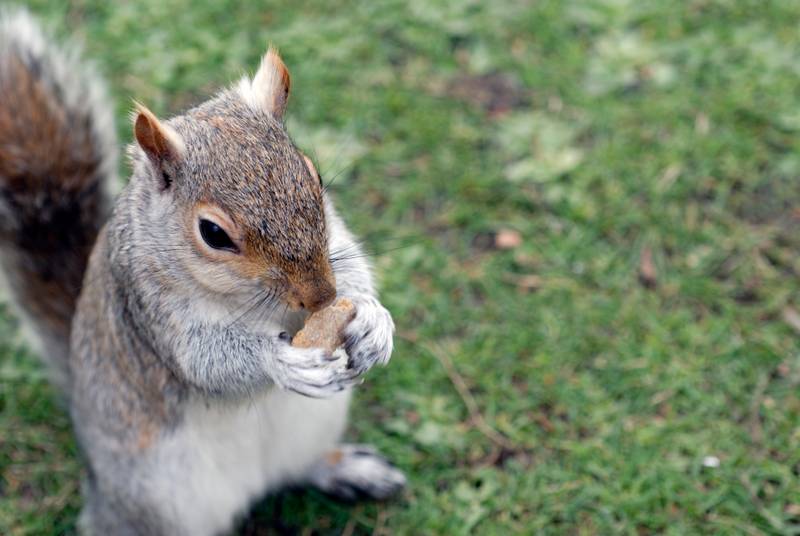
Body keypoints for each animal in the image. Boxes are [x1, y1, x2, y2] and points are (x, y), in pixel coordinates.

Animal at [0, 9, 405, 536]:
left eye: (314, 176)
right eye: (213, 233)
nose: (319, 297)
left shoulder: (335, 239)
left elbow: (353, 267)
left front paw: (374, 321)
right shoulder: (150, 307)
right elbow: (205, 361)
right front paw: (280, 361)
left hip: (314, 426)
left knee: (298, 468)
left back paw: (347, 468)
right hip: (156, 499)